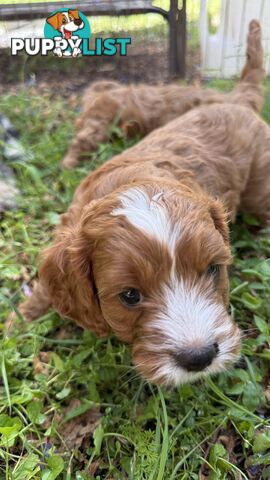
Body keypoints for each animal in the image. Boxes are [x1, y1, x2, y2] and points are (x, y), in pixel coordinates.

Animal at [15, 36, 268, 386]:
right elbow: (44, 287)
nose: (199, 357)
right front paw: (19, 320)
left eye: (213, 270)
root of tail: (238, 101)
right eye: (130, 296)